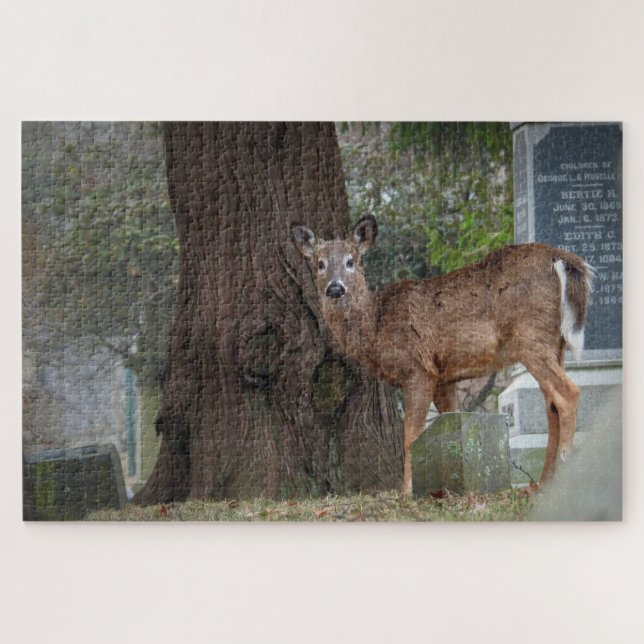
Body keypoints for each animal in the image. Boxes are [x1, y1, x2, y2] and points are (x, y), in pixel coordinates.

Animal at [291, 215, 593, 496]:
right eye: (320, 263)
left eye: (351, 261)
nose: (335, 288)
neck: (375, 327)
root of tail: (564, 260)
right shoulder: (444, 378)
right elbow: (449, 422)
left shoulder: (417, 369)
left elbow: (411, 435)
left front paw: (407, 492)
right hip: (553, 343)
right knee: (551, 405)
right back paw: (544, 483)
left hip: (529, 336)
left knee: (568, 393)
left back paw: (564, 470)